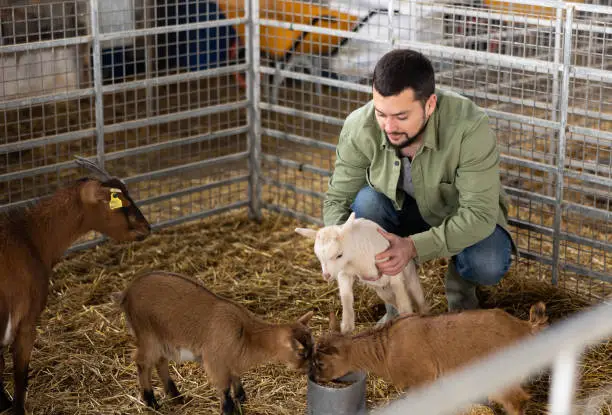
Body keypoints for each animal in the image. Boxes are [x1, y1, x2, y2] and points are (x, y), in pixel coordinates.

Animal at [114, 272, 316, 414]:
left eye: (313, 347)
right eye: (301, 353)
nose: (312, 369)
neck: (247, 333)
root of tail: (127, 292)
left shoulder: (231, 359)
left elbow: (236, 378)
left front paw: (241, 399)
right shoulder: (215, 361)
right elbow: (224, 388)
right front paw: (228, 410)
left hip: (163, 339)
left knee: (160, 362)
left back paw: (177, 396)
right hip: (147, 335)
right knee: (142, 362)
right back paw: (151, 402)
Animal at [314, 302, 548, 415]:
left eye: (321, 363)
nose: (314, 377)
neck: (386, 349)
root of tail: (524, 326)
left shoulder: (422, 379)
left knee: (516, 401)